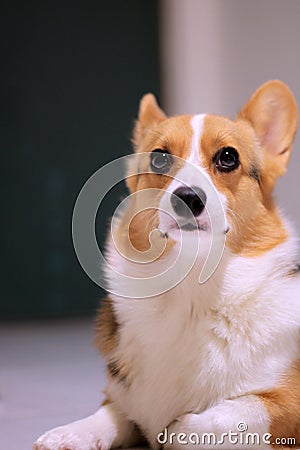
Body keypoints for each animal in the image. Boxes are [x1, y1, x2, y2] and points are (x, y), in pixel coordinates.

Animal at [34, 81, 300, 450]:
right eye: (159, 157)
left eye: (228, 157)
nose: (188, 198)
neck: (189, 293)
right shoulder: (123, 396)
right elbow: (110, 413)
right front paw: (69, 434)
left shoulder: (286, 405)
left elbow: (218, 417)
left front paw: (174, 430)